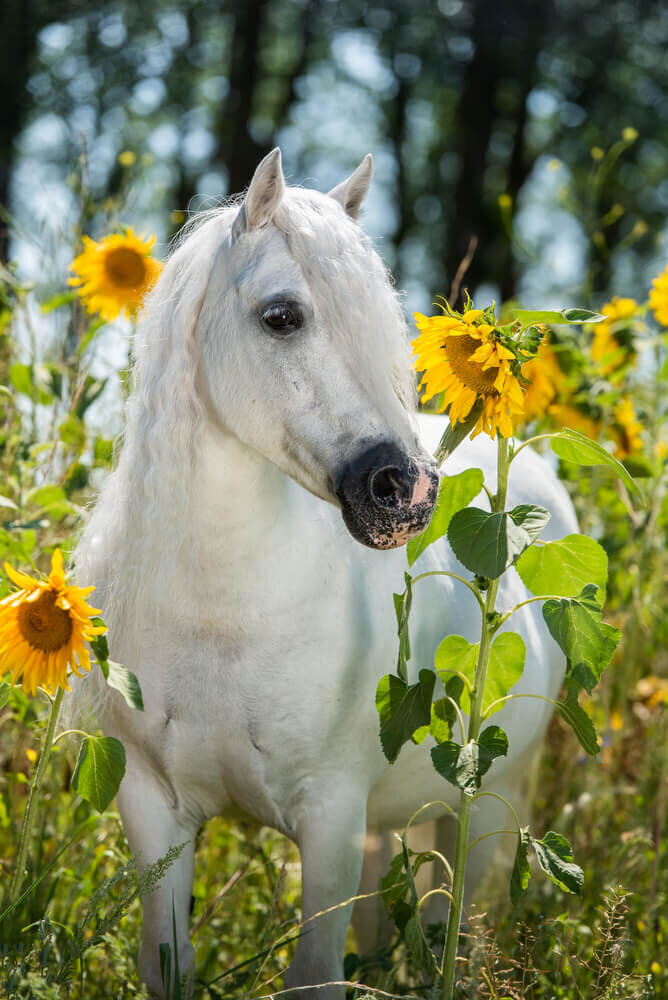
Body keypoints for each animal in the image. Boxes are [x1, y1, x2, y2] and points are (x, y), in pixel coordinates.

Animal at [72, 150, 576, 1000]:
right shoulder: (154, 812)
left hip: (489, 805)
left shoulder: (330, 818)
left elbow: (314, 975)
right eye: (282, 316)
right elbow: (169, 965)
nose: (407, 492)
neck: (221, 617)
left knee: (455, 928)